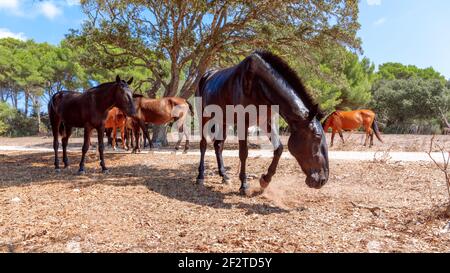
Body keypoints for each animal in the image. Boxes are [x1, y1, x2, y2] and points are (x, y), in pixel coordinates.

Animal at [195, 50, 328, 194]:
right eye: (317, 136)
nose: (323, 180)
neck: (256, 83)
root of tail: (206, 76)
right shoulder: (243, 123)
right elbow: (243, 153)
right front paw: (244, 185)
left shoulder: (265, 122)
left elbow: (279, 148)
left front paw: (265, 180)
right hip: (204, 117)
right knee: (203, 145)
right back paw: (200, 177)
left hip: (224, 120)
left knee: (218, 145)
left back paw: (224, 176)